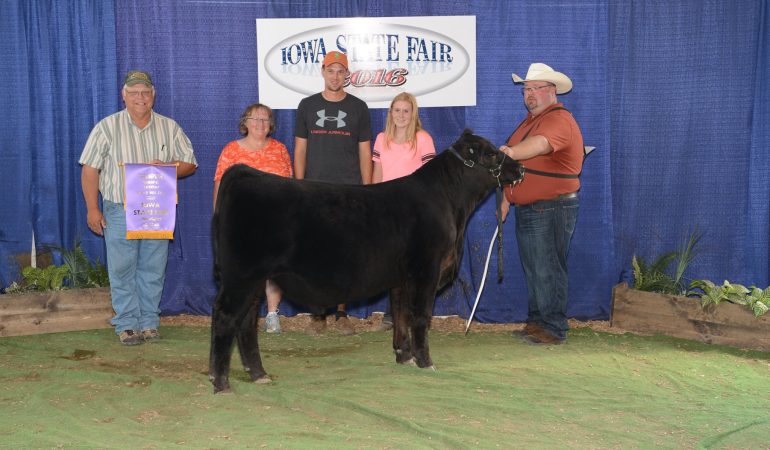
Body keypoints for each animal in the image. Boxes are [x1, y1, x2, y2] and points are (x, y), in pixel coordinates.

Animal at [208, 131, 520, 394]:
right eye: (492, 153)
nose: (519, 168)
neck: (450, 204)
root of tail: (244, 173)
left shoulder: (402, 278)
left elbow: (401, 315)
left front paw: (404, 357)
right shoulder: (426, 270)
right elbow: (420, 316)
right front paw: (425, 361)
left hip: (253, 280)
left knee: (246, 322)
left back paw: (257, 374)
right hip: (243, 275)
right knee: (226, 317)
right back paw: (221, 382)